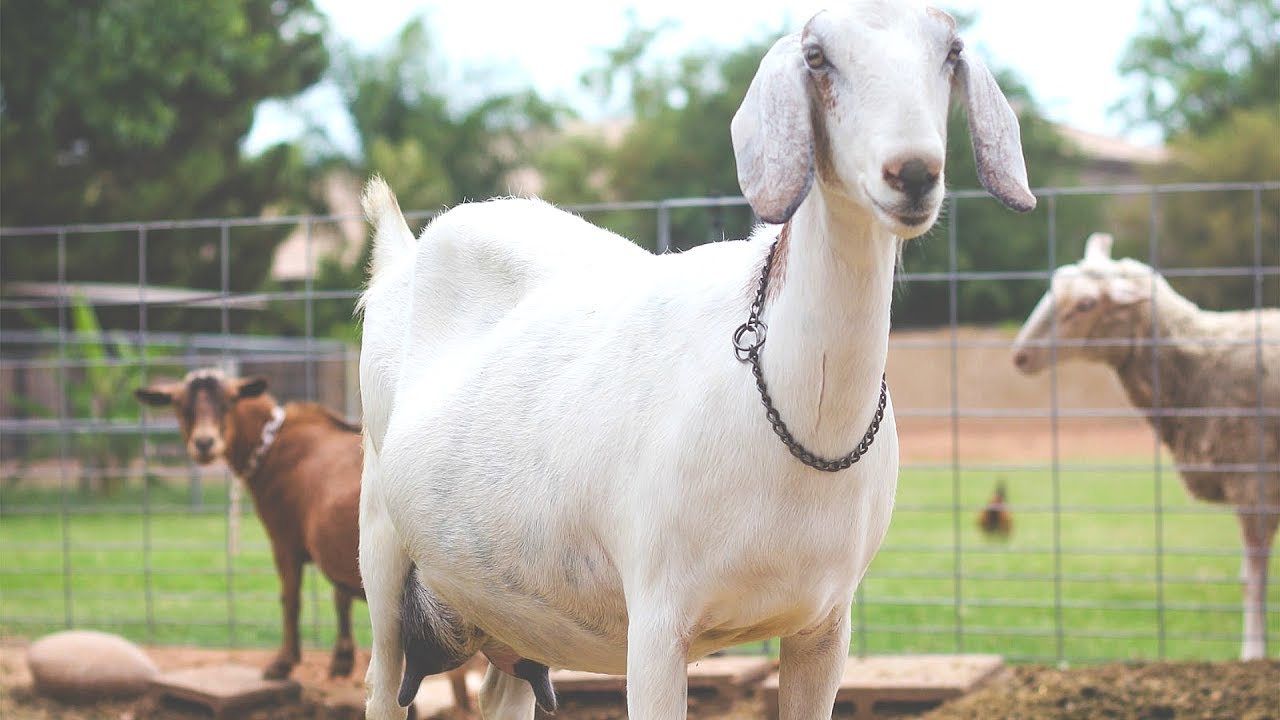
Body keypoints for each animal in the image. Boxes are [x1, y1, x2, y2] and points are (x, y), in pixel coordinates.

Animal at [135, 369, 476, 710]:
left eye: (229, 401)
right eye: (180, 404)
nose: (204, 443)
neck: (273, 445)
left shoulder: (284, 538)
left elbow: (290, 598)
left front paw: (281, 664)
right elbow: (340, 596)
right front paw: (341, 660)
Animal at [358, 2, 1034, 718]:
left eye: (951, 51)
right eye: (817, 57)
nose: (912, 173)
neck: (799, 413)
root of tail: (401, 257)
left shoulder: (824, 627)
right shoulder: (657, 624)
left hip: (509, 603)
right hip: (381, 549)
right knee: (381, 682)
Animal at [1012, 232, 1279, 660]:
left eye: (1086, 304)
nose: (1019, 356)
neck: (1203, 362)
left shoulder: (1255, 480)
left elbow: (1253, 576)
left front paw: (1253, 653)